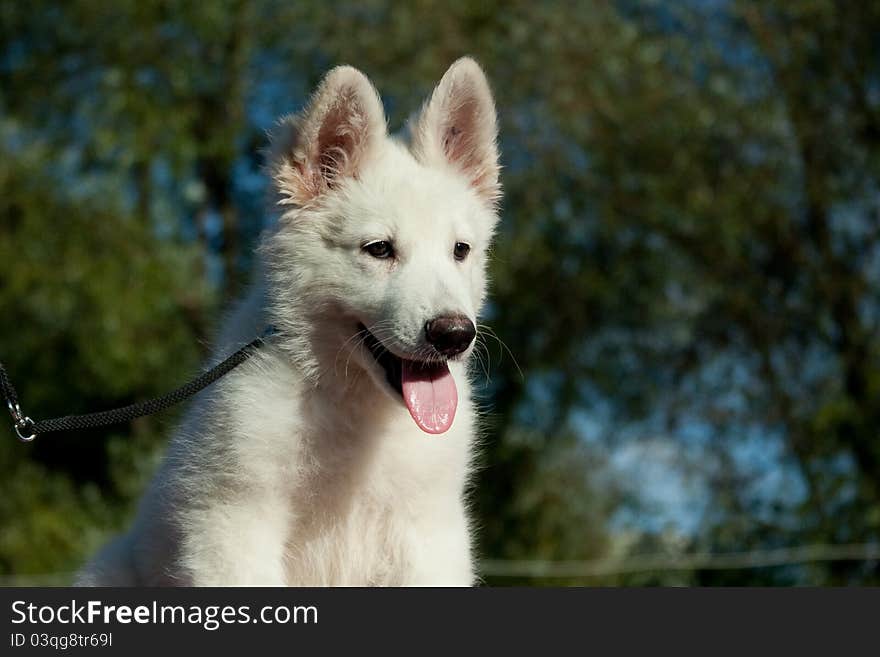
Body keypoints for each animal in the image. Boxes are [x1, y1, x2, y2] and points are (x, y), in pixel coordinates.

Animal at [79, 57, 506, 584]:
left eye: (460, 251)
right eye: (379, 249)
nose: (454, 335)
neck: (351, 404)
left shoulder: (430, 537)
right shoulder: (232, 527)